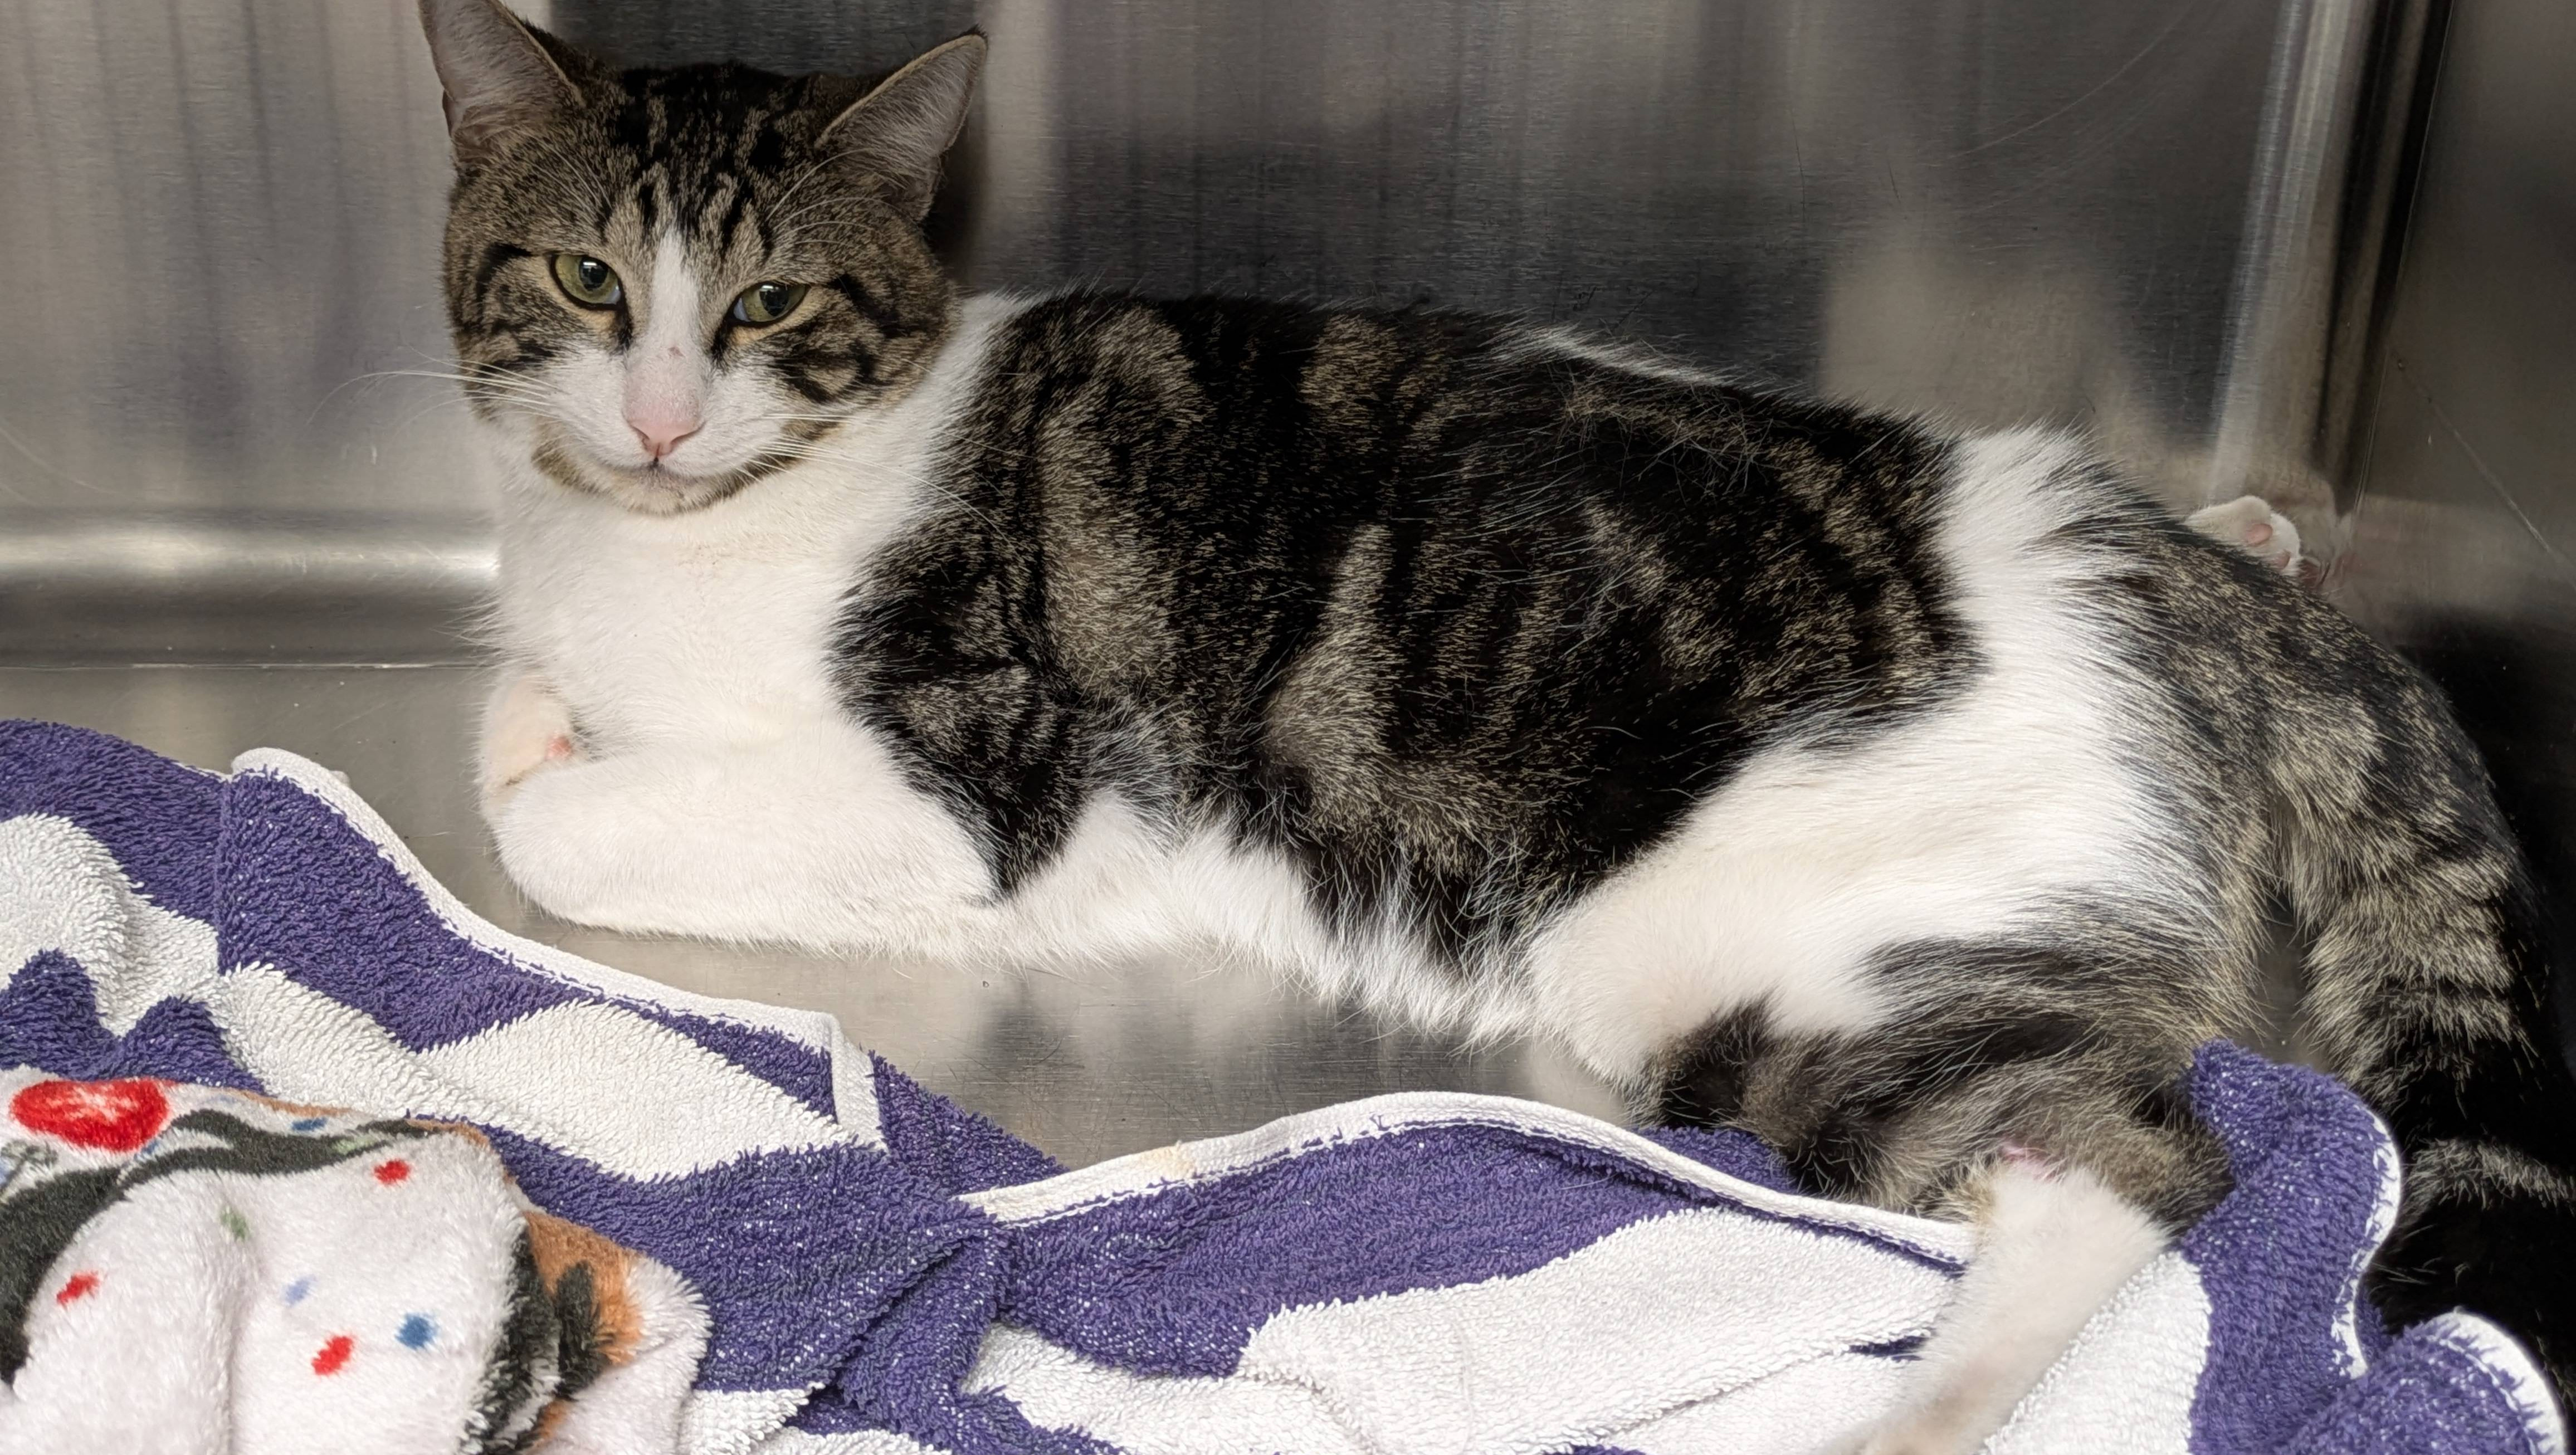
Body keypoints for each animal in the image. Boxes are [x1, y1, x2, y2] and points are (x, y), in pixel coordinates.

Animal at [417, 1, 2575, 1447]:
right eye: (587, 280)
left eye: (770, 310)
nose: (661, 417)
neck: (679, 525)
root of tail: (2151, 583)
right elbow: (520, 709)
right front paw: (533, 708)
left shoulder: (969, 776)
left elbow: (560, 821)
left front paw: (552, 766)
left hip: (1772, 958)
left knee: (2131, 1169)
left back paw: (1919, 1406)